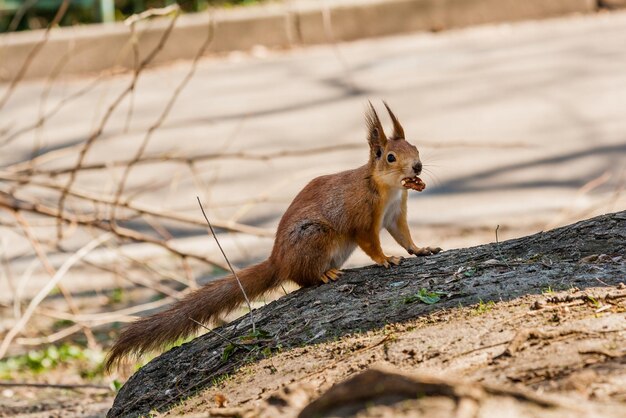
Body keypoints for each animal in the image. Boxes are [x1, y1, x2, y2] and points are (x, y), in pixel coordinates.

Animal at [103, 103, 438, 370]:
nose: (418, 167)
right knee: (302, 278)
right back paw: (324, 274)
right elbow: (370, 241)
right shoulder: (362, 216)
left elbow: (403, 235)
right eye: (390, 157)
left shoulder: (395, 213)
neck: (388, 188)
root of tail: (278, 261)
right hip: (316, 237)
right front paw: (385, 259)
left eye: (416, 148)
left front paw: (421, 249)